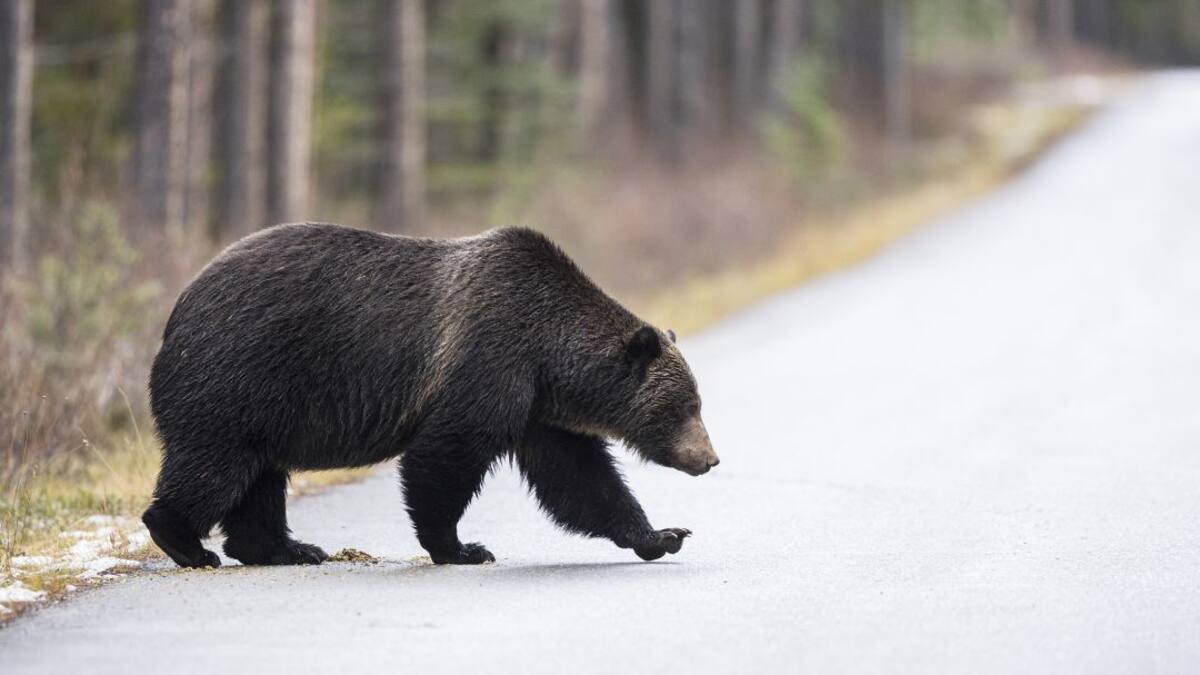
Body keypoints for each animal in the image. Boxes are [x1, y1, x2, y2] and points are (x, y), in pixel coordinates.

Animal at [142, 222, 719, 568]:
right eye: (683, 407)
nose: (709, 458)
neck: (548, 354)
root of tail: (178, 306)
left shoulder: (538, 408)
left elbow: (580, 479)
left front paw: (662, 535)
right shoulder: (488, 361)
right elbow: (445, 454)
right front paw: (463, 547)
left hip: (264, 404)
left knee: (258, 477)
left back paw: (287, 547)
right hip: (240, 374)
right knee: (216, 464)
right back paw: (186, 543)